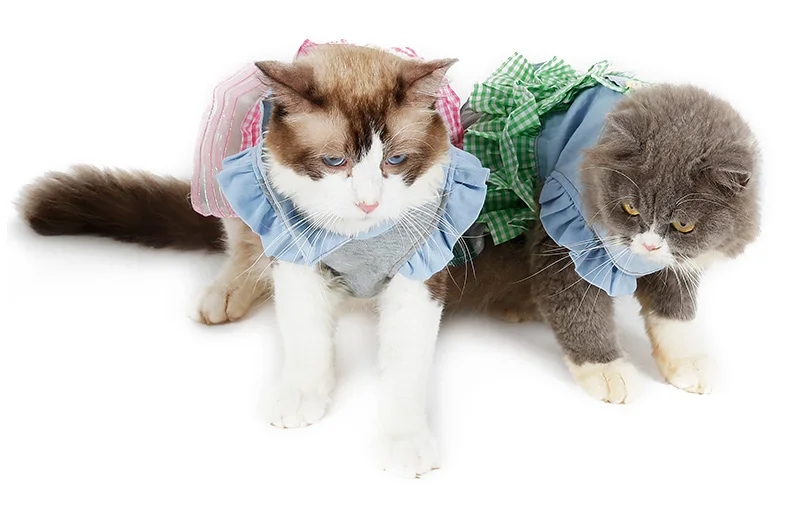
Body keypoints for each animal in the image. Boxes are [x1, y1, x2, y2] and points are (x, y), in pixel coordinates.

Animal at [18, 44, 495, 478]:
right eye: (334, 161)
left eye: (395, 160)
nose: (368, 203)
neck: (357, 236)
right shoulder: (294, 251)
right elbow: (306, 337)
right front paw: (302, 395)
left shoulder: (421, 268)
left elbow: (406, 364)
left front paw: (404, 440)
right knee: (244, 249)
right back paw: (225, 294)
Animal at [444, 82, 761, 403]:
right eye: (630, 208)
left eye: (683, 225)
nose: (649, 245)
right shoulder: (565, 247)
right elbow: (581, 315)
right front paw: (608, 371)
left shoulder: (676, 263)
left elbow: (676, 314)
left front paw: (688, 362)